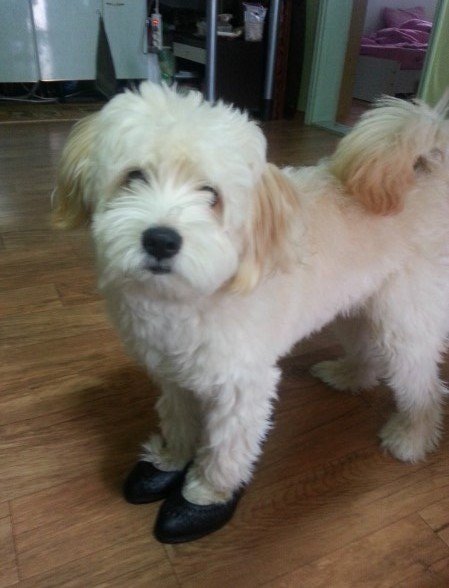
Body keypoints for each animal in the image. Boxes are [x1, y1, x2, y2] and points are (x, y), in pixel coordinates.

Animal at [53, 83, 449, 543]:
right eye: (134, 176)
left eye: (211, 195)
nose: (161, 241)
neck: (190, 296)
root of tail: (428, 173)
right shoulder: (174, 373)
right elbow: (178, 417)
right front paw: (170, 459)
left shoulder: (241, 387)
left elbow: (226, 447)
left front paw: (203, 495)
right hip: (356, 306)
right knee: (366, 350)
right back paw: (348, 376)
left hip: (405, 320)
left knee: (423, 386)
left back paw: (412, 438)